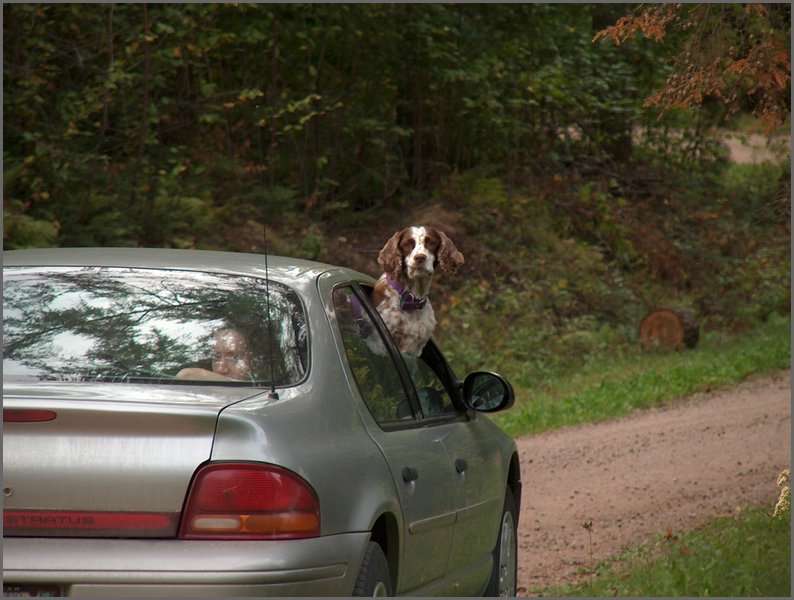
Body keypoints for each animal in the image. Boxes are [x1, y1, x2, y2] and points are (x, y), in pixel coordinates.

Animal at [372, 225, 464, 356]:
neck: (412, 299)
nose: (420, 257)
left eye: (431, 243)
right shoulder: (380, 343)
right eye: (407, 244)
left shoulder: (417, 347)